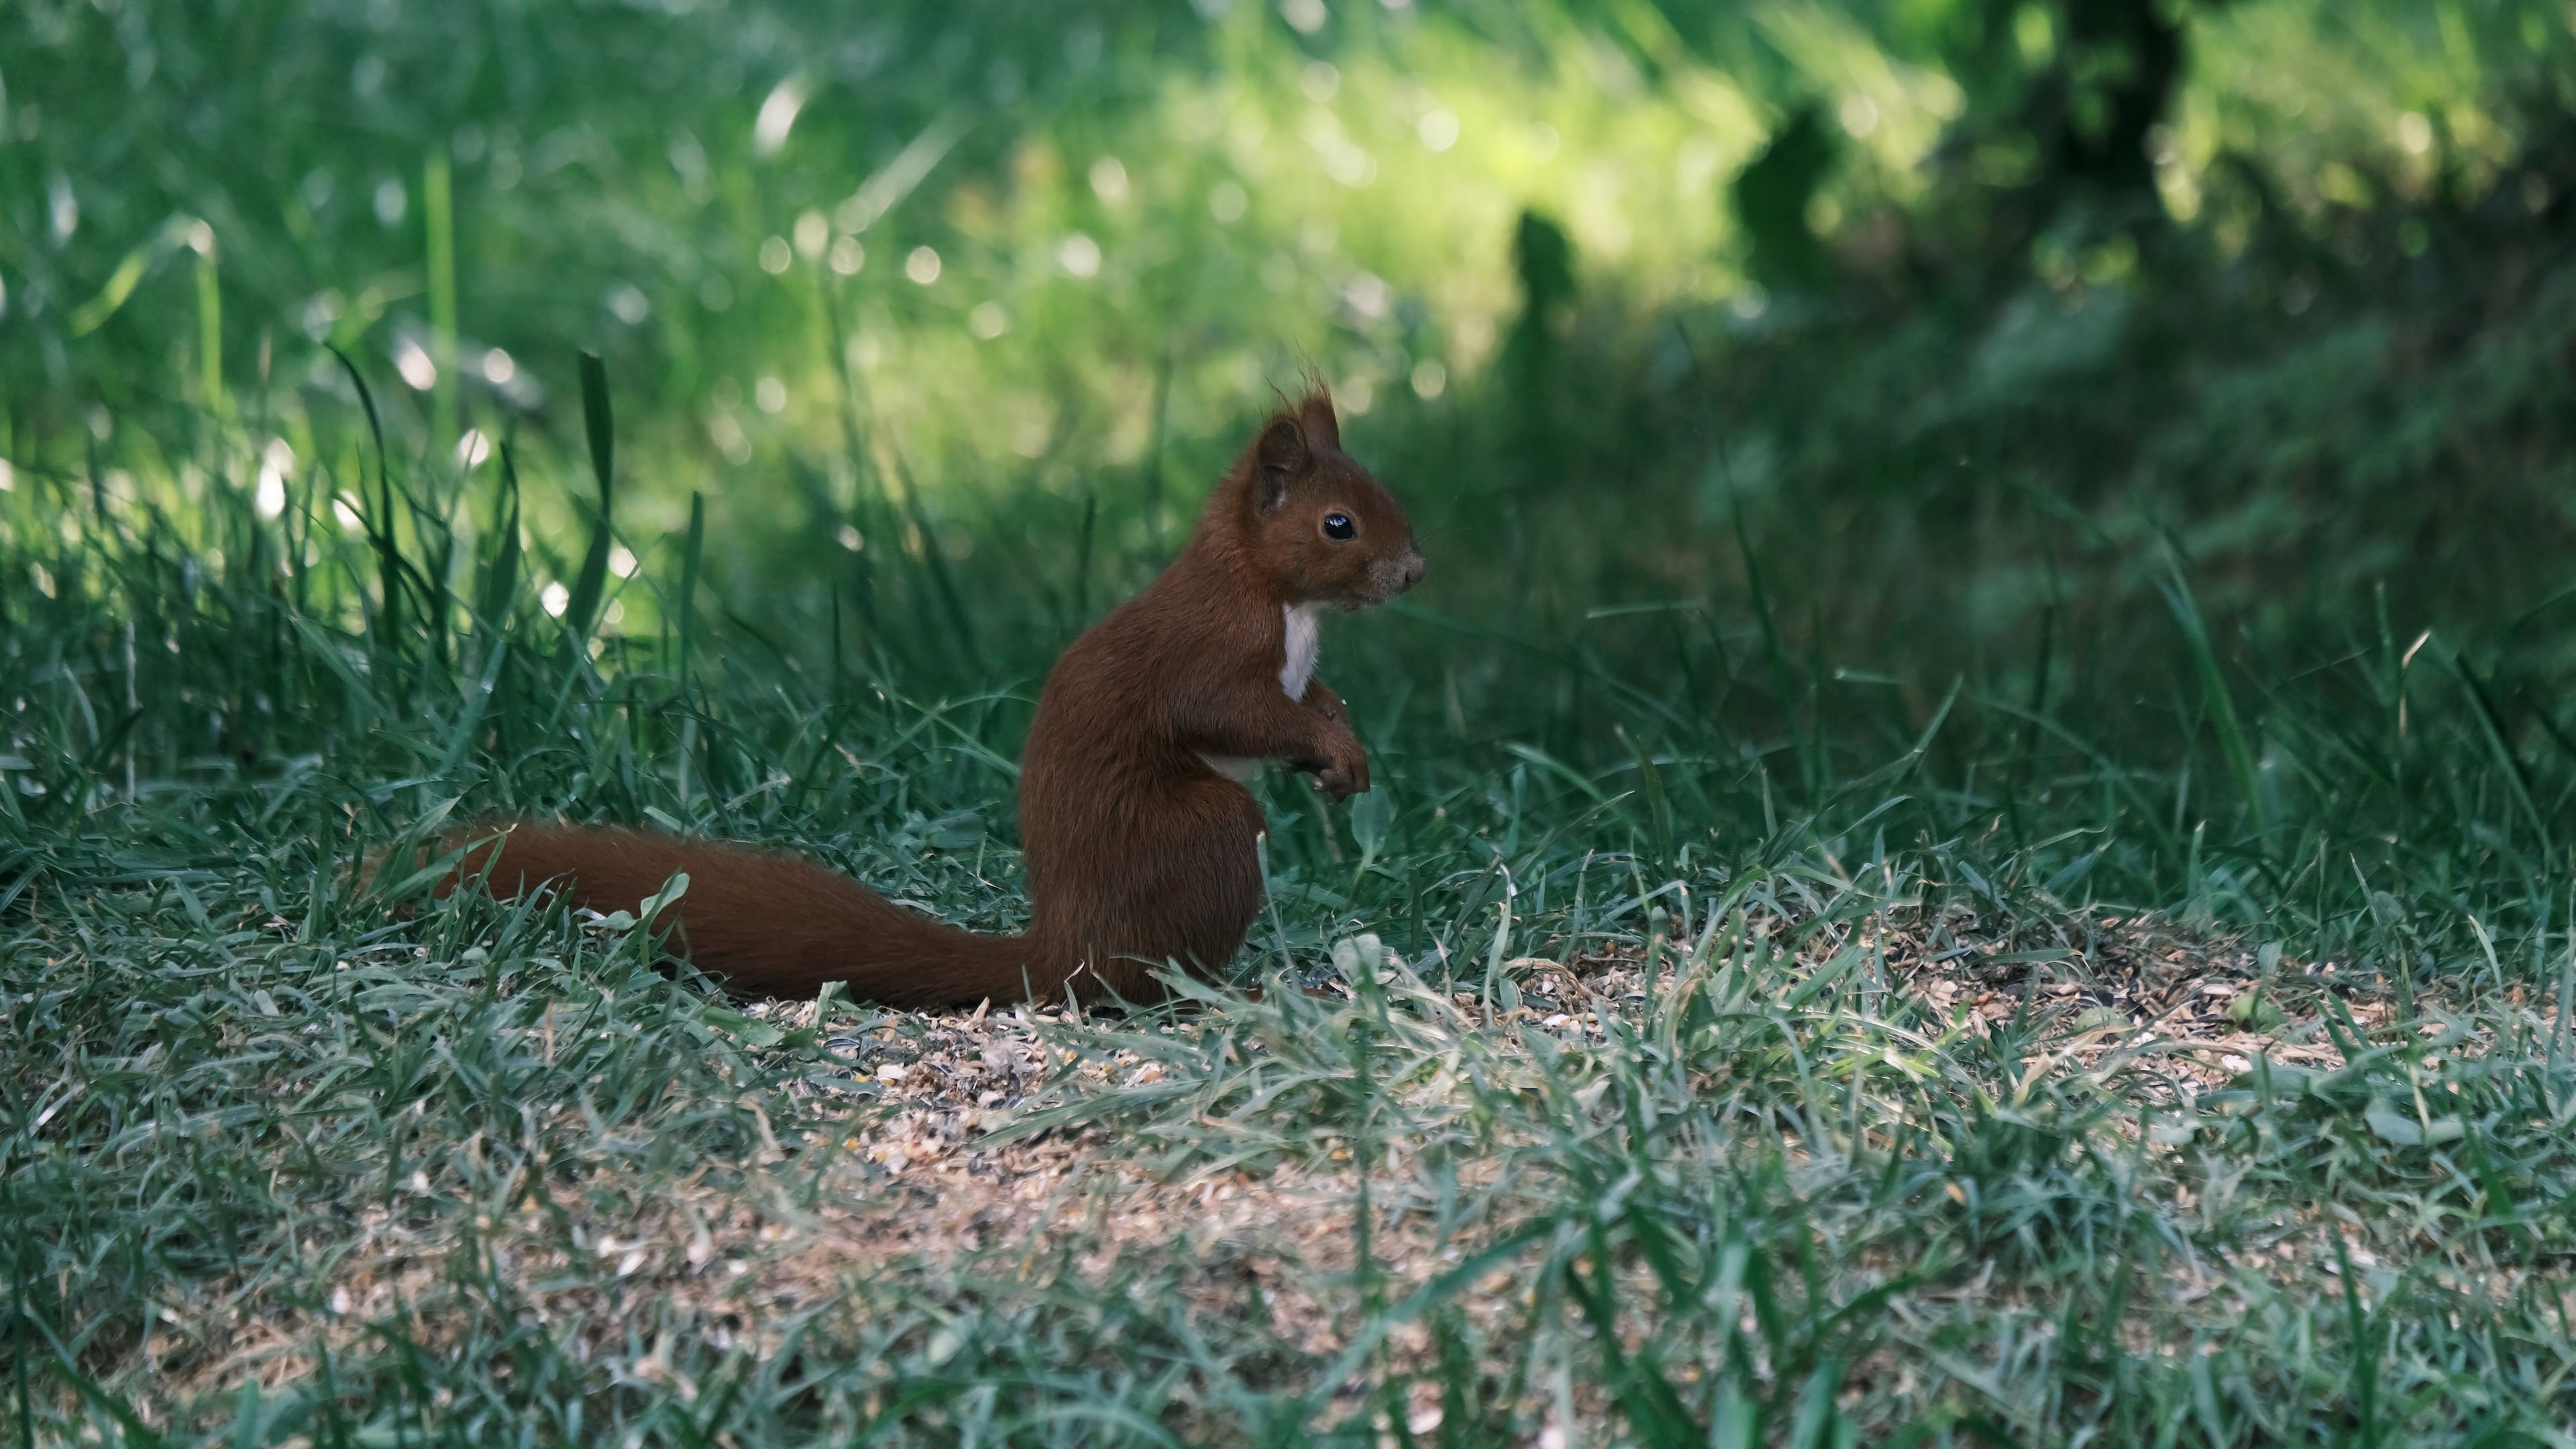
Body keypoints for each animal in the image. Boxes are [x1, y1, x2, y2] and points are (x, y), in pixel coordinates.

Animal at [443, 389, 1421, 1010]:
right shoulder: (1208, 656)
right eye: (1338, 524)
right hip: (1205, 835)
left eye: (1387, 494)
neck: (1275, 595)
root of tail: (1062, 953)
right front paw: (1335, 750)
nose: (1415, 571)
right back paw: (1220, 987)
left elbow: (1314, 699)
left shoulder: (1292, 665)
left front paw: (1341, 744)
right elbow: (1237, 713)